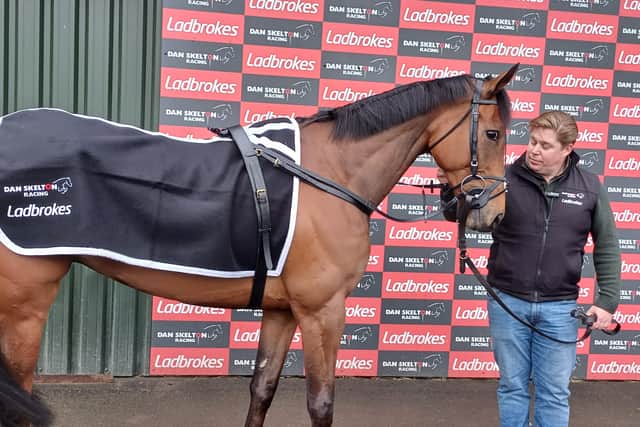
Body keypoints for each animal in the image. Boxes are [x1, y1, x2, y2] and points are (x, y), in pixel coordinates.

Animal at [0, 64, 517, 427]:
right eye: (493, 133)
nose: (494, 215)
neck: (331, 172)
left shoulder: (283, 310)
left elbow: (262, 389)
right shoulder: (323, 310)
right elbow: (321, 402)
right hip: (25, 306)